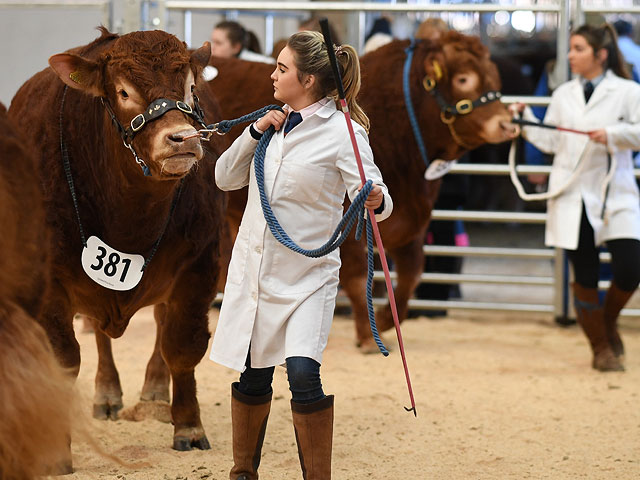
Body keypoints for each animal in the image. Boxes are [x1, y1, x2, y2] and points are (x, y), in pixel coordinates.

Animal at [8, 26, 226, 462]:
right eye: (124, 92)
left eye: (191, 87)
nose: (182, 138)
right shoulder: (51, 280)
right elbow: (63, 358)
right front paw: (56, 447)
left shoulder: (200, 265)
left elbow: (182, 346)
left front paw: (189, 425)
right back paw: (107, 394)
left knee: (160, 324)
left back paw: (155, 390)